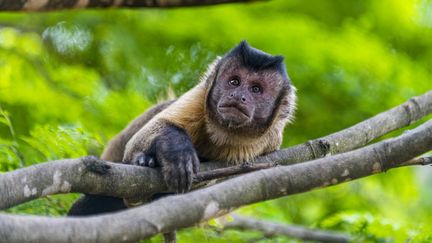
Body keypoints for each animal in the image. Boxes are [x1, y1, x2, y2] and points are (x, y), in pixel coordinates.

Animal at [68, 40, 296, 216]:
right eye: (234, 82)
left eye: (256, 89)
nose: (239, 95)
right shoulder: (199, 97)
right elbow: (147, 134)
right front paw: (176, 151)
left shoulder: (270, 143)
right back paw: (145, 161)